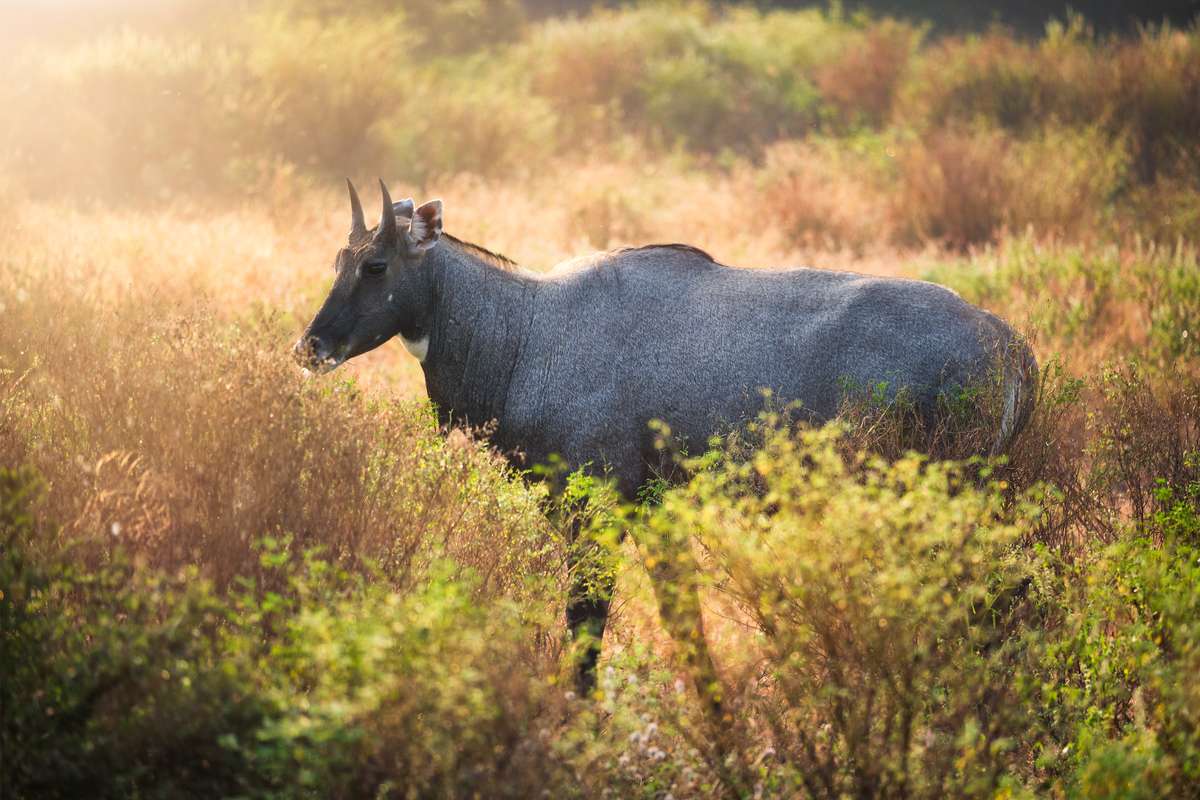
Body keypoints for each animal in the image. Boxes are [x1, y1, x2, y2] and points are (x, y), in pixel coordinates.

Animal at [295, 179, 1036, 705]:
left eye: (376, 265)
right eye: (338, 259)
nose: (311, 347)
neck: (525, 331)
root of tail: (1008, 344)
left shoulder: (591, 507)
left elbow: (586, 623)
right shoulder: (652, 511)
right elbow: (685, 625)